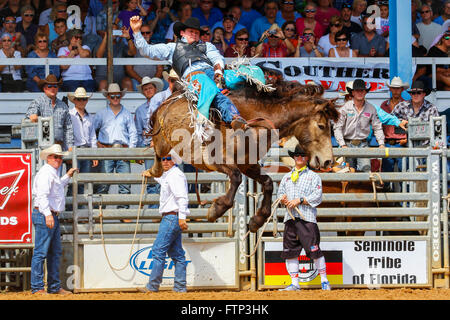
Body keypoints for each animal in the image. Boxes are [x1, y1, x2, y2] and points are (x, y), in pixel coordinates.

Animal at [146, 80, 340, 232]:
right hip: (162, 141)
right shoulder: (217, 160)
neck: (254, 123)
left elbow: (268, 183)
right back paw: (153, 171)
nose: (328, 160)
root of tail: (169, 100)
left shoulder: (247, 164)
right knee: (158, 154)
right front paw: (216, 209)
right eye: (322, 126)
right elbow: (236, 177)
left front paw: (257, 221)